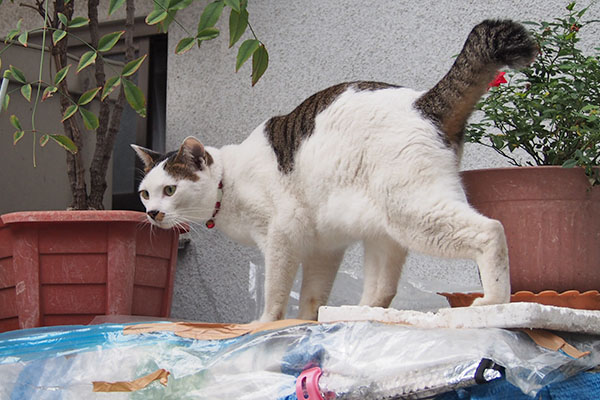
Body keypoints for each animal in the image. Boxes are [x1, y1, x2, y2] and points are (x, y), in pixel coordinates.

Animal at [134, 21, 536, 322]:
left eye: (169, 190)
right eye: (144, 193)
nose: (152, 213)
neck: (227, 184)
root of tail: (421, 101)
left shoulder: (281, 236)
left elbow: (275, 290)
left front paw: (265, 322)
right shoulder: (323, 246)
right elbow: (312, 295)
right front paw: (307, 321)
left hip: (413, 213)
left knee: (491, 230)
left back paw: (494, 300)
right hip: (383, 231)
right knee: (384, 287)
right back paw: (356, 312)